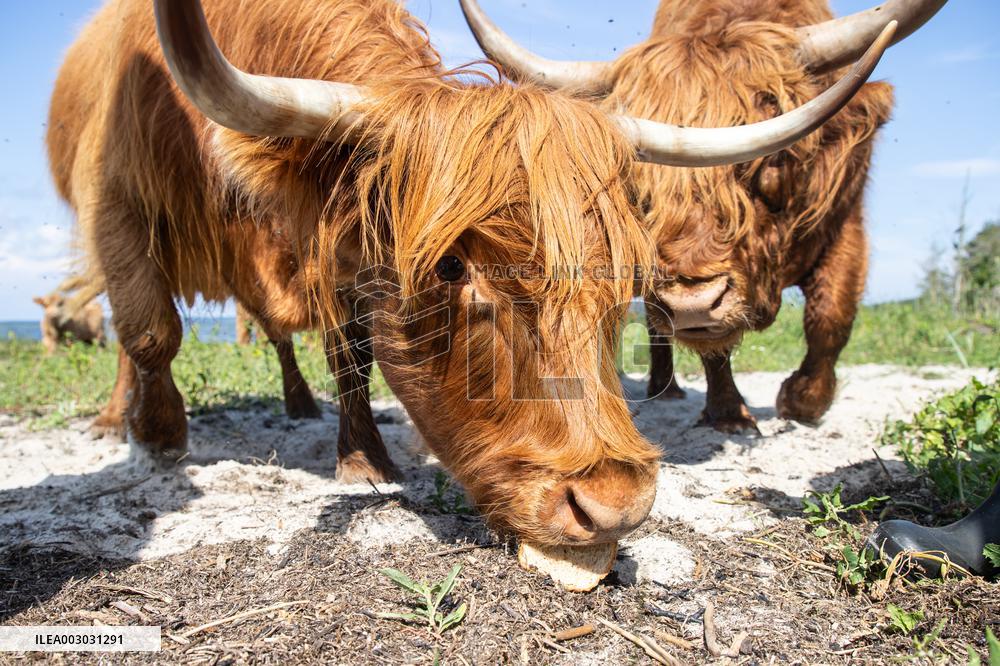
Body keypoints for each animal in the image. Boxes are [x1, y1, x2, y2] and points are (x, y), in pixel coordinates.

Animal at [47, 0, 890, 544]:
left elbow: (349, 351)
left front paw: (361, 455)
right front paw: (161, 437)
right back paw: (119, 418)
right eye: (452, 266)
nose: (612, 505)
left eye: (621, 273)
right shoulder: (118, 197)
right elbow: (151, 328)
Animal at [460, 0, 945, 433]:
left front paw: (799, 400)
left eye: (775, 163)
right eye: (639, 184)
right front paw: (730, 414)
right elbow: (710, 345)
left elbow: (831, 314)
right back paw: (666, 388)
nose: (691, 304)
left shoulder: (846, 219)